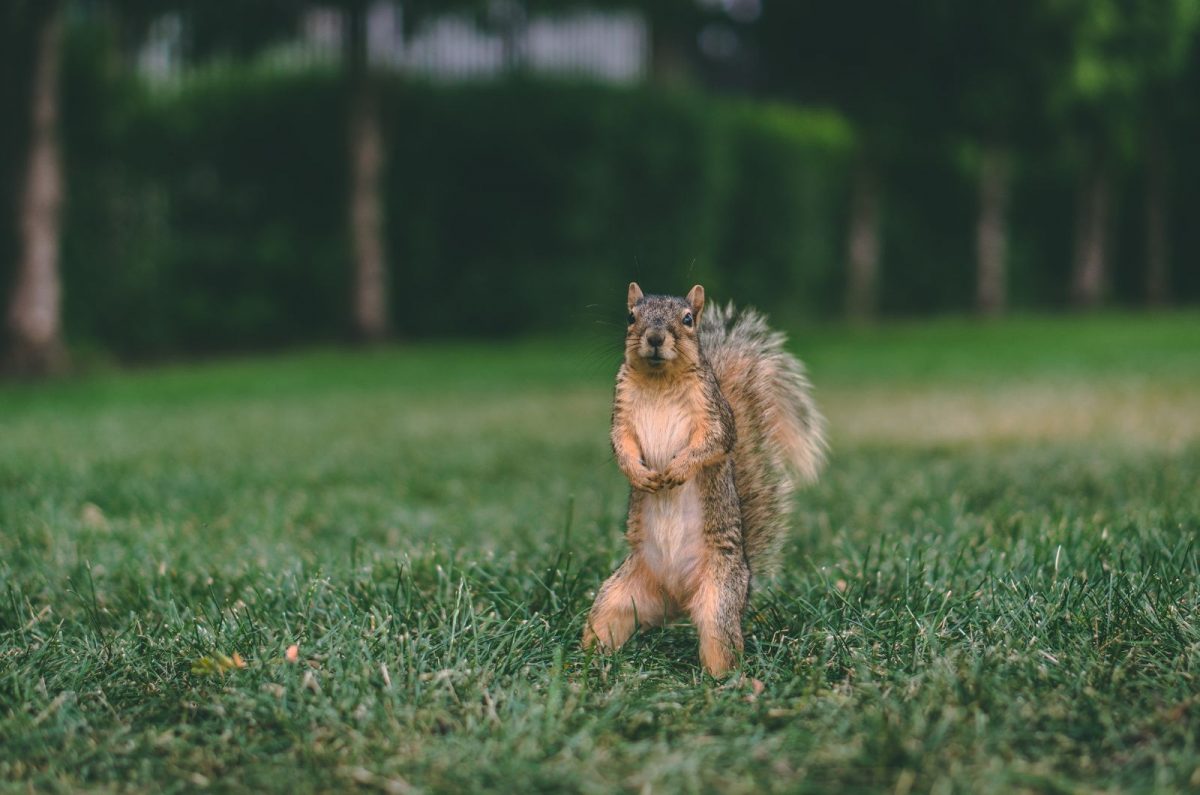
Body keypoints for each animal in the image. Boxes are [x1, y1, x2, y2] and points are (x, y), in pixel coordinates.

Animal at [582, 282, 826, 677]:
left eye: (687, 319)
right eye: (631, 316)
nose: (654, 338)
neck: (659, 379)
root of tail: (676, 598)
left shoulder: (713, 412)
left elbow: (714, 442)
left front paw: (677, 470)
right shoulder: (621, 412)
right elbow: (621, 444)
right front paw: (640, 474)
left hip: (719, 597)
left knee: (720, 641)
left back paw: (724, 681)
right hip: (618, 597)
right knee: (604, 621)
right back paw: (584, 664)